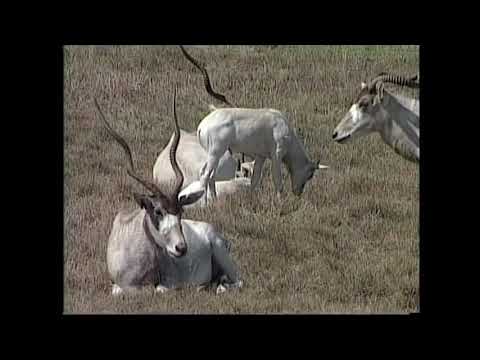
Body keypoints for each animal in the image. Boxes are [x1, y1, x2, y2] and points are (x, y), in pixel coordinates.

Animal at [94, 90, 244, 296]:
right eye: (158, 211)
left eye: (181, 212)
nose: (181, 248)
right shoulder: (117, 285)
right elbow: (118, 290)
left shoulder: (166, 283)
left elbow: (159, 289)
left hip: (223, 256)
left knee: (238, 281)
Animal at [178, 45, 328, 204]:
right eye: (310, 174)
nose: (298, 192)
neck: (283, 126)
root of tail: (202, 126)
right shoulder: (276, 155)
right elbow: (278, 181)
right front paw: (280, 202)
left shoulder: (260, 157)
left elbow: (254, 180)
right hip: (215, 152)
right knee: (205, 174)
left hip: (215, 154)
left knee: (211, 175)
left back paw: (214, 200)